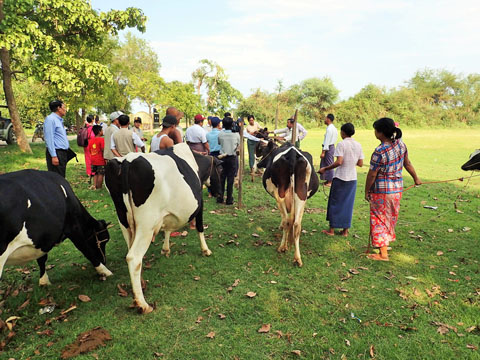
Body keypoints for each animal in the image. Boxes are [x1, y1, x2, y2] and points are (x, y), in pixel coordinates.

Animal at [105, 143, 221, 312]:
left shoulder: (166, 213)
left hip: (124, 222)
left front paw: (166, 249)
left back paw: (141, 286)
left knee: (131, 252)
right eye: (221, 170)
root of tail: (127, 161)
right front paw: (206, 250)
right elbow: (200, 227)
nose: (219, 194)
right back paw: (143, 304)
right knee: (133, 257)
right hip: (146, 224)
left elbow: (167, 229)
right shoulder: (199, 204)